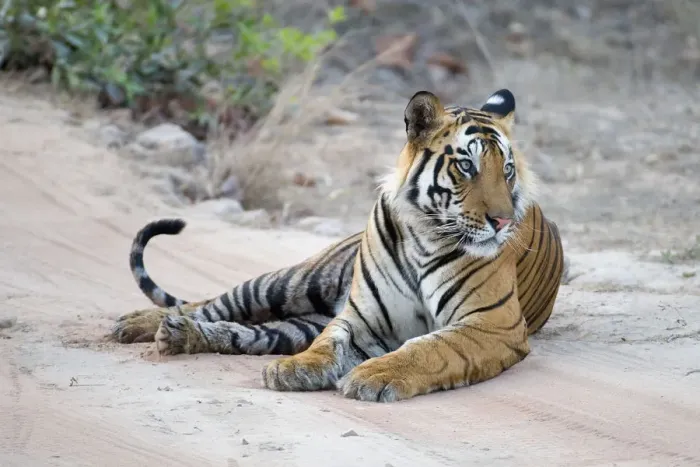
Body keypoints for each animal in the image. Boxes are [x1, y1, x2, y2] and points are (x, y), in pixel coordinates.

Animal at [111, 88, 565, 402]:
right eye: (467, 165)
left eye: (507, 170)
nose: (502, 221)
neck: (426, 234)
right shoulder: (361, 316)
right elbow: (329, 343)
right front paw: (297, 368)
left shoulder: (491, 324)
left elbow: (428, 347)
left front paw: (371, 376)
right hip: (290, 282)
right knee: (214, 303)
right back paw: (139, 324)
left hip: (296, 321)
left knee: (246, 332)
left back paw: (178, 336)